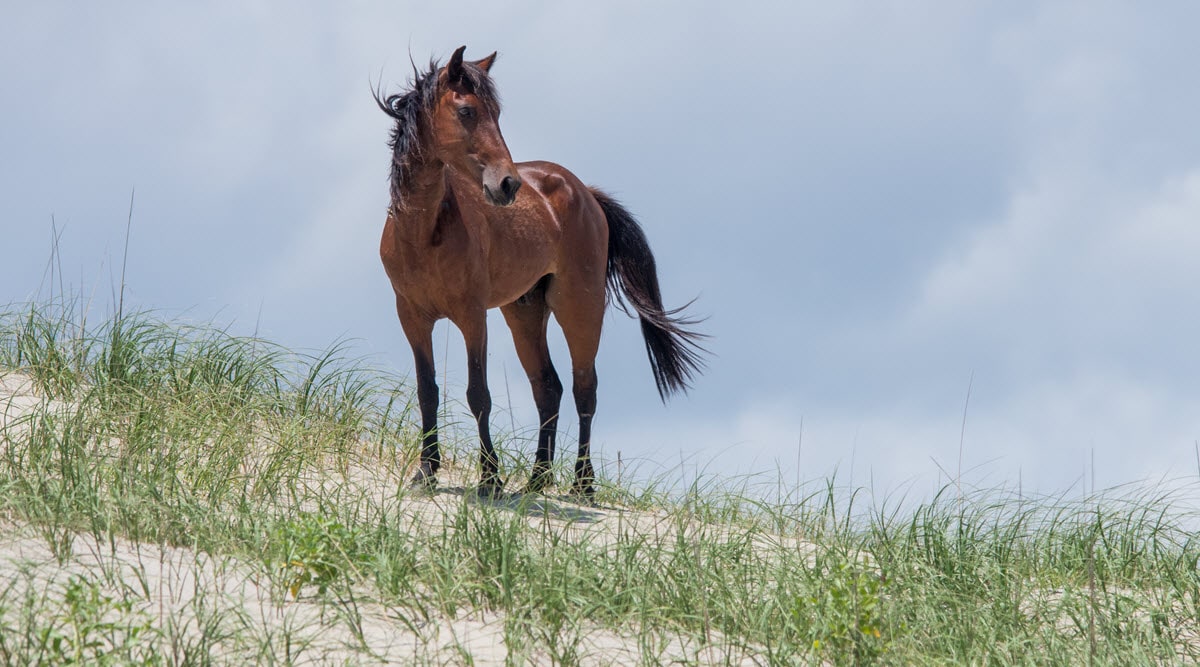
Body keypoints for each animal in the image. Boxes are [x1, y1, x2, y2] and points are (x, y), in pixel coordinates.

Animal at [374, 46, 705, 494]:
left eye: (497, 112)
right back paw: (537, 478)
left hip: (579, 308)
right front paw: (425, 471)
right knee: (548, 387)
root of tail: (586, 194)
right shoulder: (412, 316)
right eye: (466, 111)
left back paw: (582, 483)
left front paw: (490, 478)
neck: (425, 232)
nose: (508, 184)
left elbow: (479, 394)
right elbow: (428, 390)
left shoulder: (472, 317)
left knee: (585, 388)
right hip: (524, 312)